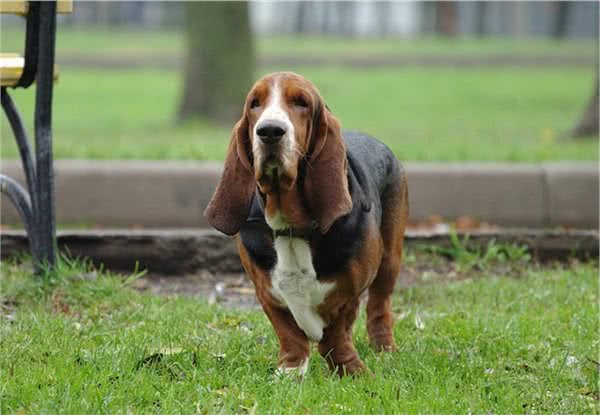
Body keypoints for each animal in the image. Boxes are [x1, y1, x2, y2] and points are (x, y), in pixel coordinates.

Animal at [205, 73, 408, 378]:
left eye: (301, 102)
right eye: (254, 103)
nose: (269, 131)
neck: (292, 227)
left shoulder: (351, 291)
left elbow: (338, 332)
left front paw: (351, 370)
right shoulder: (265, 292)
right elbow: (289, 334)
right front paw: (290, 372)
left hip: (389, 261)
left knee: (379, 306)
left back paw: (384, 349)